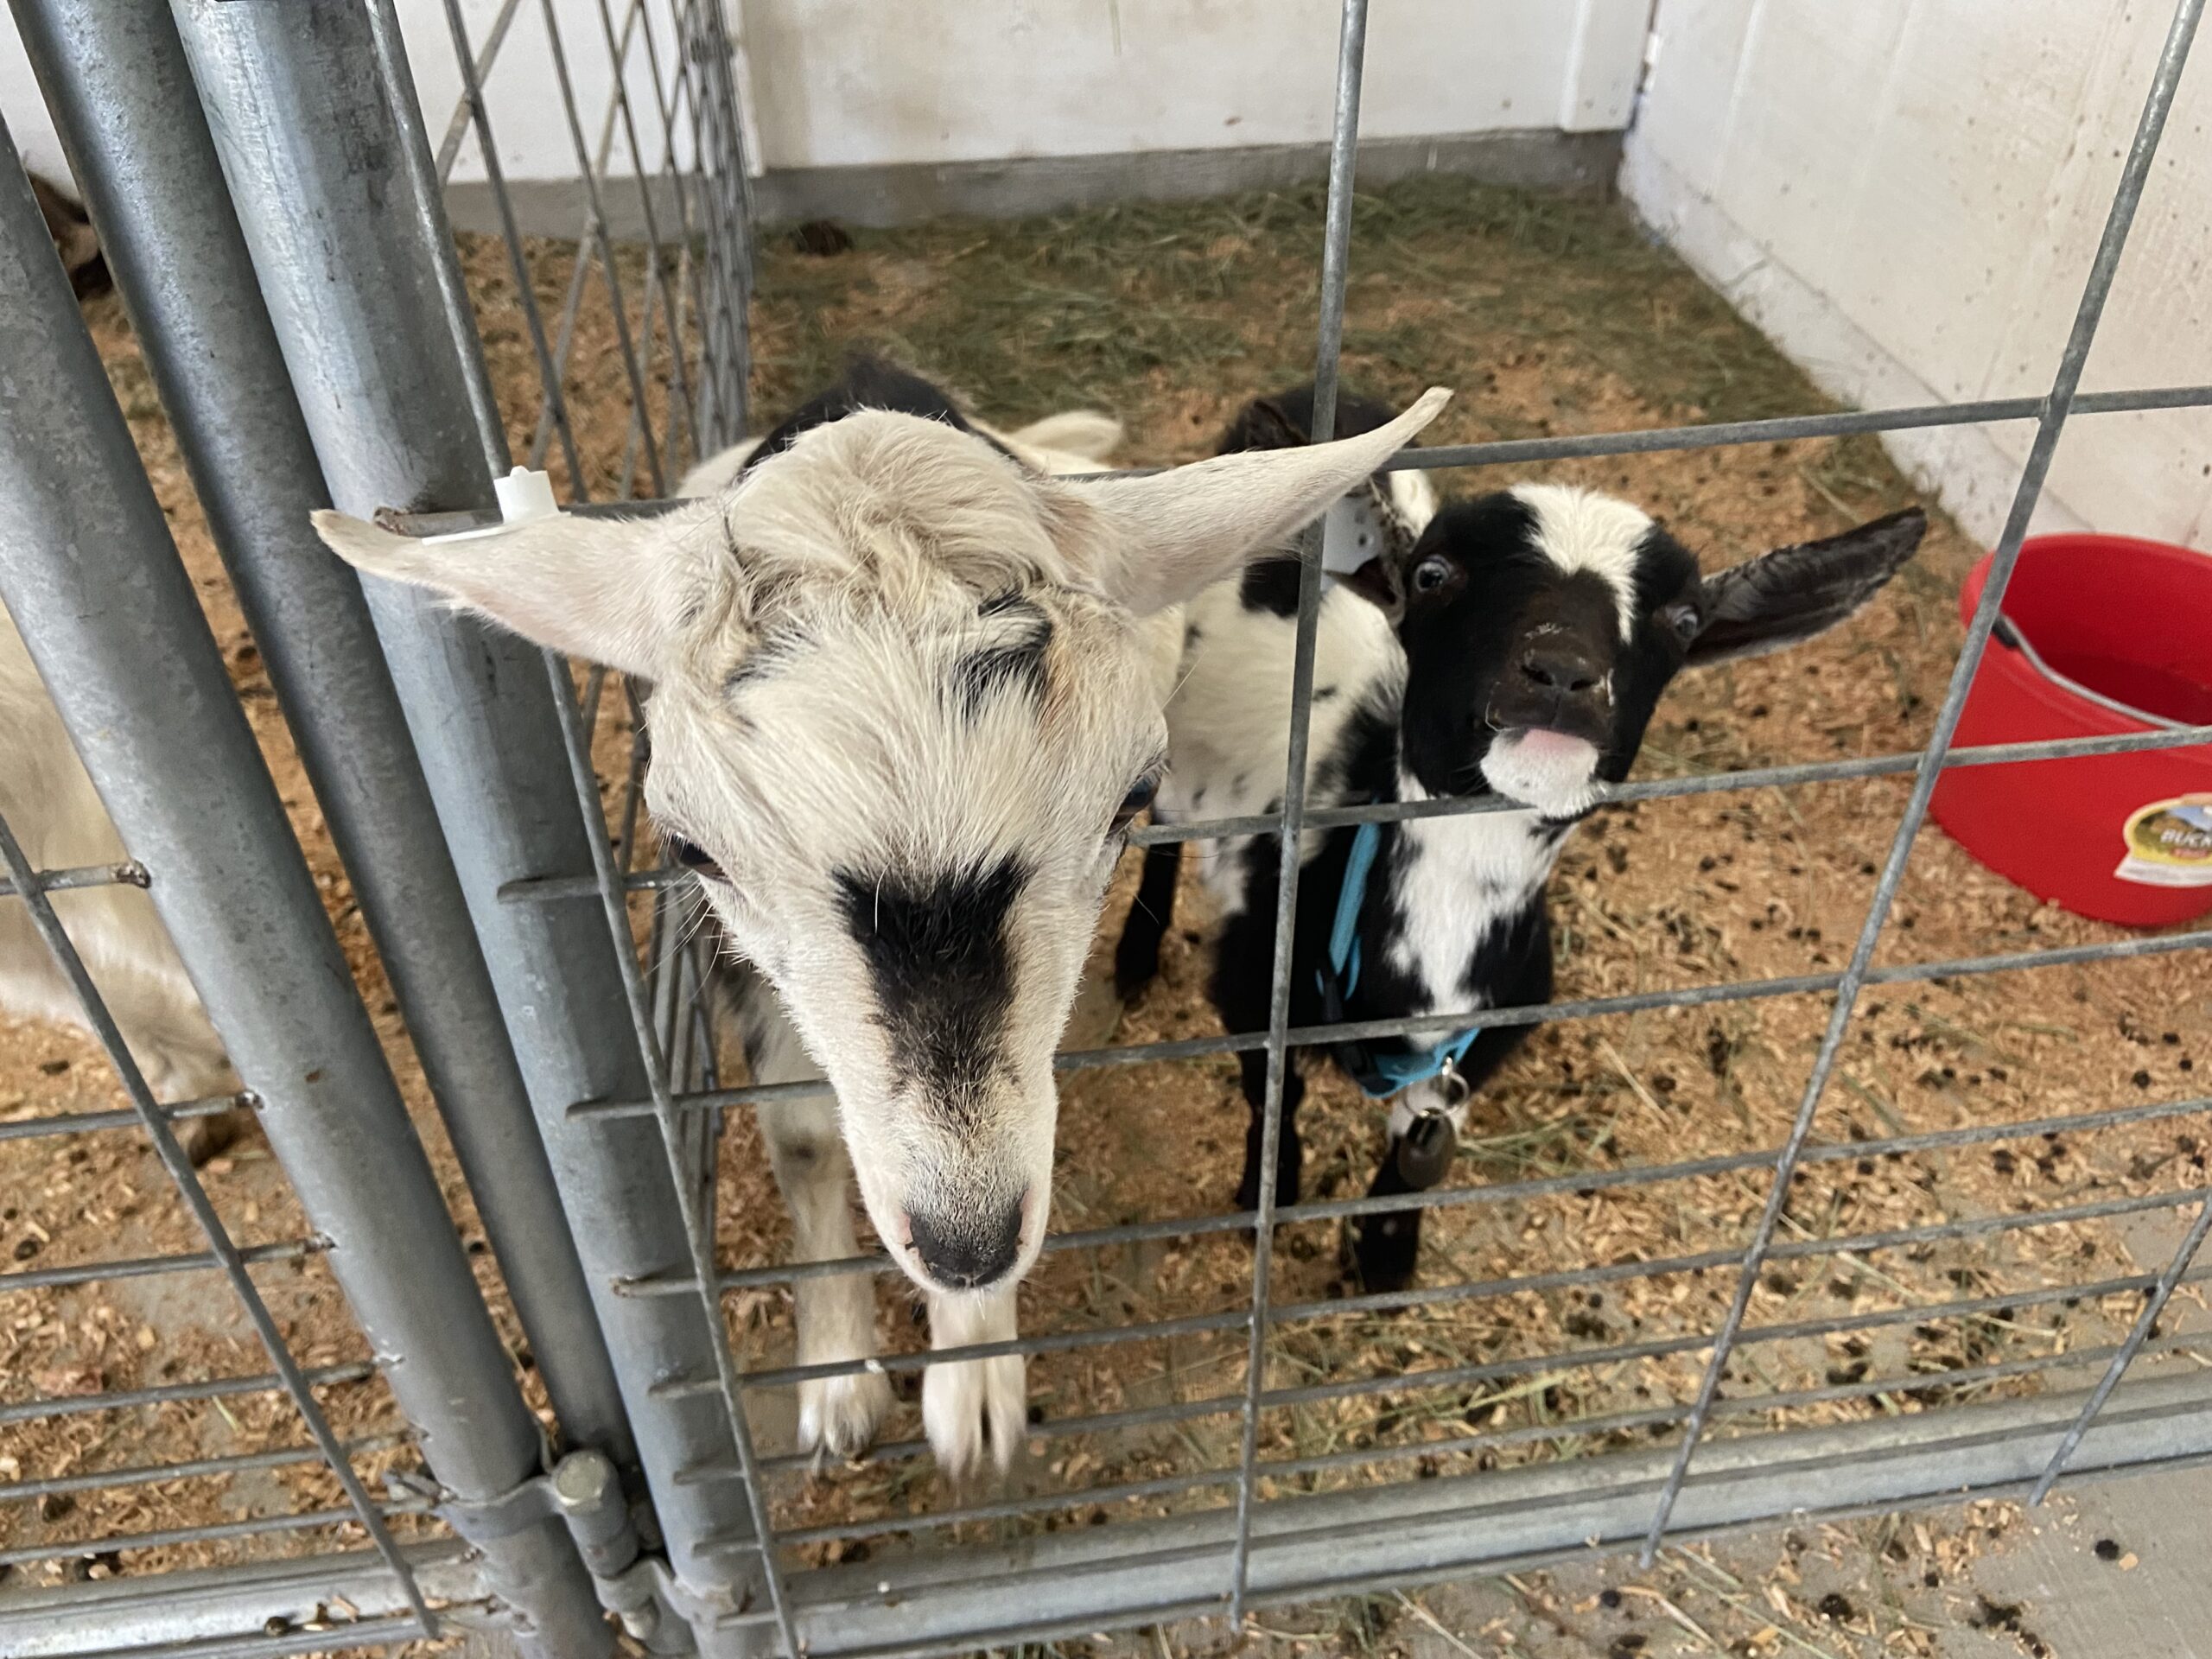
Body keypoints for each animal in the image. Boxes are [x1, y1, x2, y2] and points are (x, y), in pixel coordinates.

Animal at [314, 359, 1451, 1475]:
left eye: (1132, 795)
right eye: (690, 848)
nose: (964, 1244)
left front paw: (974, 1383)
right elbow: (806, 1138)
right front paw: (838, 1385)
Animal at [1116, 384, 1926, 1292]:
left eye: (1684, 619)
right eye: (1432, 576)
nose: (1563, 673)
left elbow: (1417, 1144)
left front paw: (1387, 1255)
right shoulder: (1256, 979)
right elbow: (1273, 1095)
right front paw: (1273, 1194)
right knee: (1162, 821)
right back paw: (1135, 958)